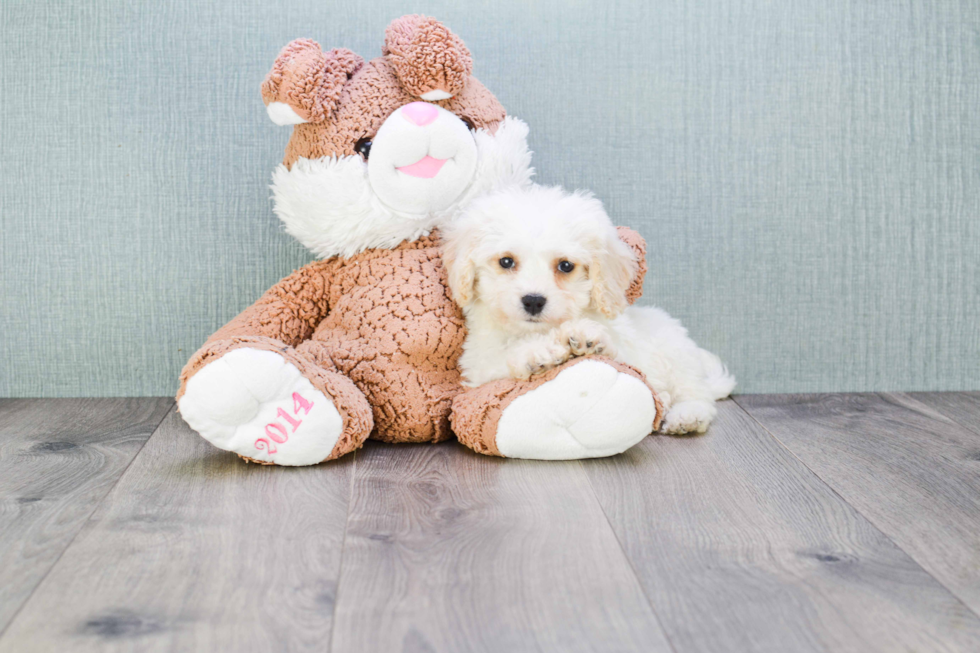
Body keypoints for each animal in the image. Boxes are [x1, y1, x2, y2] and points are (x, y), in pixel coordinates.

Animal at [444, 186, 736, 436]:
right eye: (506, 261)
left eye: (565, 266)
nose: (533, 301)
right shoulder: (478, 365)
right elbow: (504, 357)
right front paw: (540, 351)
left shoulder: (630, 350)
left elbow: (620, 356)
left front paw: (587, 339)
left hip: (677, 356)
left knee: (696, 394)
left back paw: (686, 416)